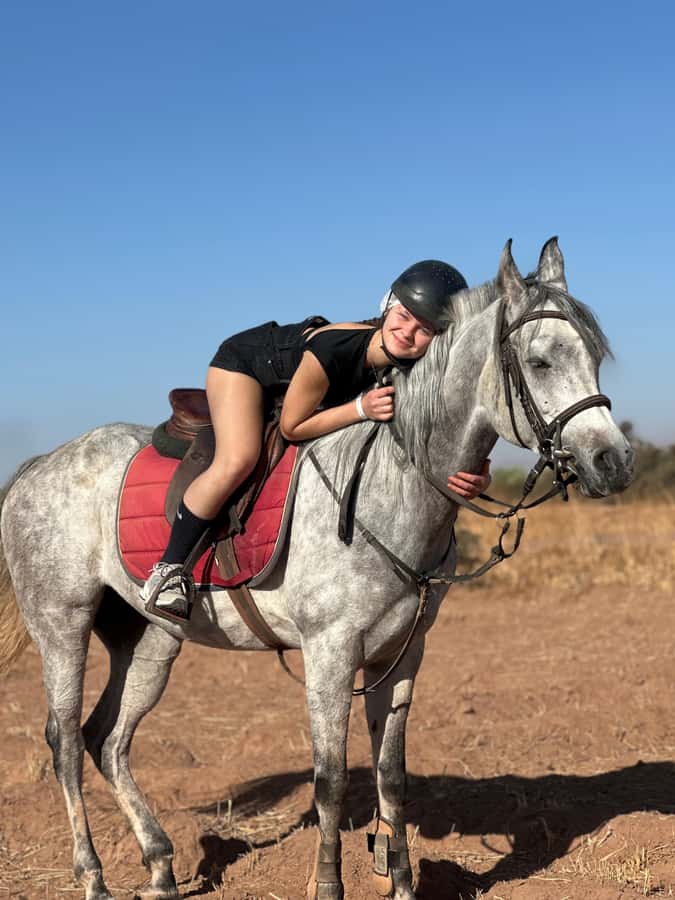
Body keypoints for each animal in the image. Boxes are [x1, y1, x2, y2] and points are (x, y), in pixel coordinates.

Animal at [0, 240, 633, 900]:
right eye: (538, 362)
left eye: (595, 358)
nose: (613, 462)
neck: (391, 486)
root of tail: (40, 464)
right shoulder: (330, 652)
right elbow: (330, 777)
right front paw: (328, 883)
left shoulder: (401, 654)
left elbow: (390, 775)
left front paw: (401, 883)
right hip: (63, 627)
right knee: (64, 741)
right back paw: (93, 875)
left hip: (148, 640)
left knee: (108, 739)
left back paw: (161, 864)